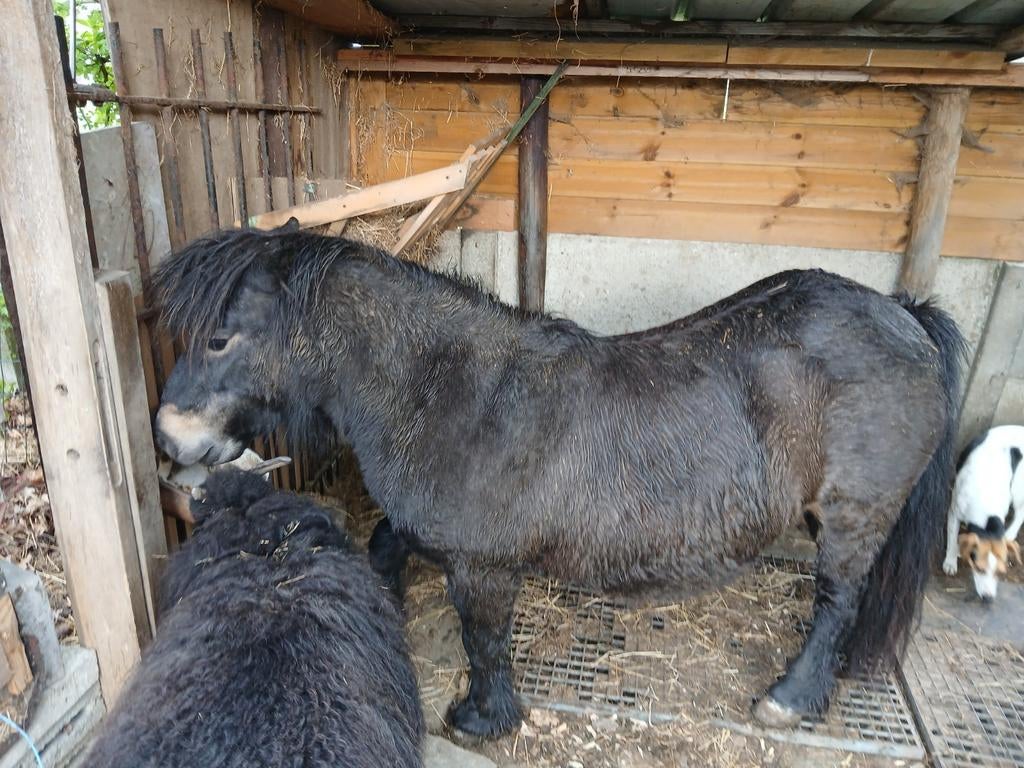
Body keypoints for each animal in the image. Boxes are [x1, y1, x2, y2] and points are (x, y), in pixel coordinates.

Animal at [152, 225, 965, 738]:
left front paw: (482, 719)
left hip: (854, 516)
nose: (168, 434)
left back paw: (791, 698)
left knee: (838, 601)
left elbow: (484, 642)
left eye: (220, 337)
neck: (450, 393)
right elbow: (384, 546)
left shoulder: (482, 568)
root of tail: (904, 317)